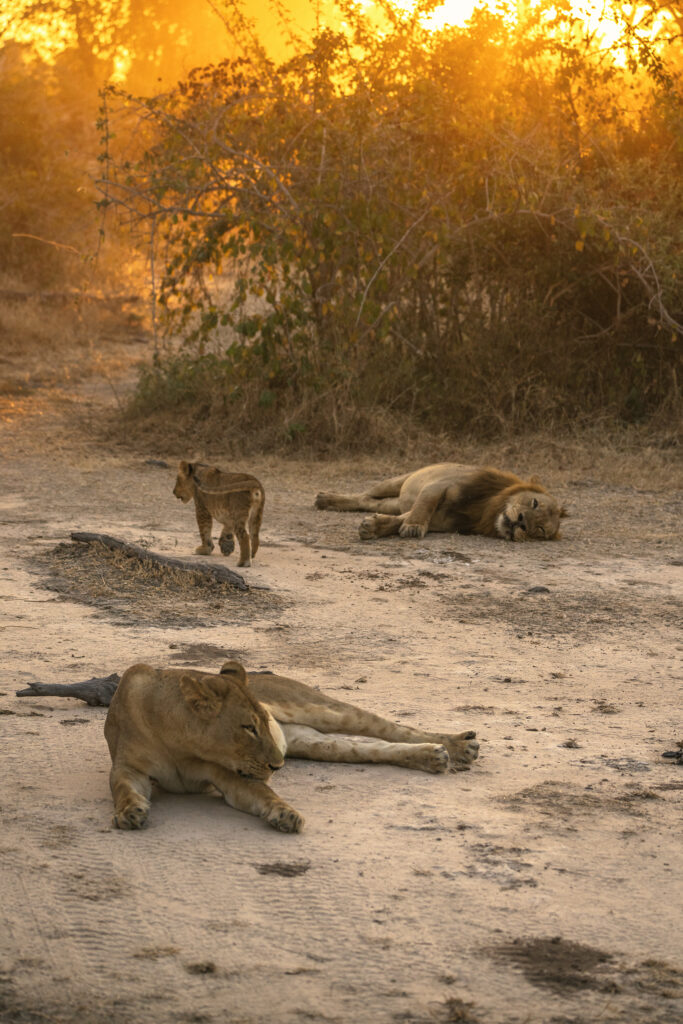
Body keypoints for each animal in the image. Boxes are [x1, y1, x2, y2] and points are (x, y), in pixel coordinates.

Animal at [18, 663, 480, 834]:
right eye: (247, 727)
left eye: (260, 724)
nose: (277, 765)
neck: (177, 738)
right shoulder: (126, 767)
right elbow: (122, 788)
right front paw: (130, 813)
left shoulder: (229, 774)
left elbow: (260, 793)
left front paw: (284, 813)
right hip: (317, 741)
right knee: (370, 747)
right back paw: (433, 757)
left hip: (320, 707)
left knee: (394, 726)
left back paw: (458, 746)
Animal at [315, 462, 566, 542]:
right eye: (534, 503)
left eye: (540, 530)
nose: (521, 523)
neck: (486, 509)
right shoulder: (438, 486)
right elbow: (423, 507)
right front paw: (413, 527)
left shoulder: (444, 521)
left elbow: (400, 520)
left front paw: (374, 527)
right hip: (396, 481)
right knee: (363, 494)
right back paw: (325, 499)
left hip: (390, 503)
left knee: (369, 502)